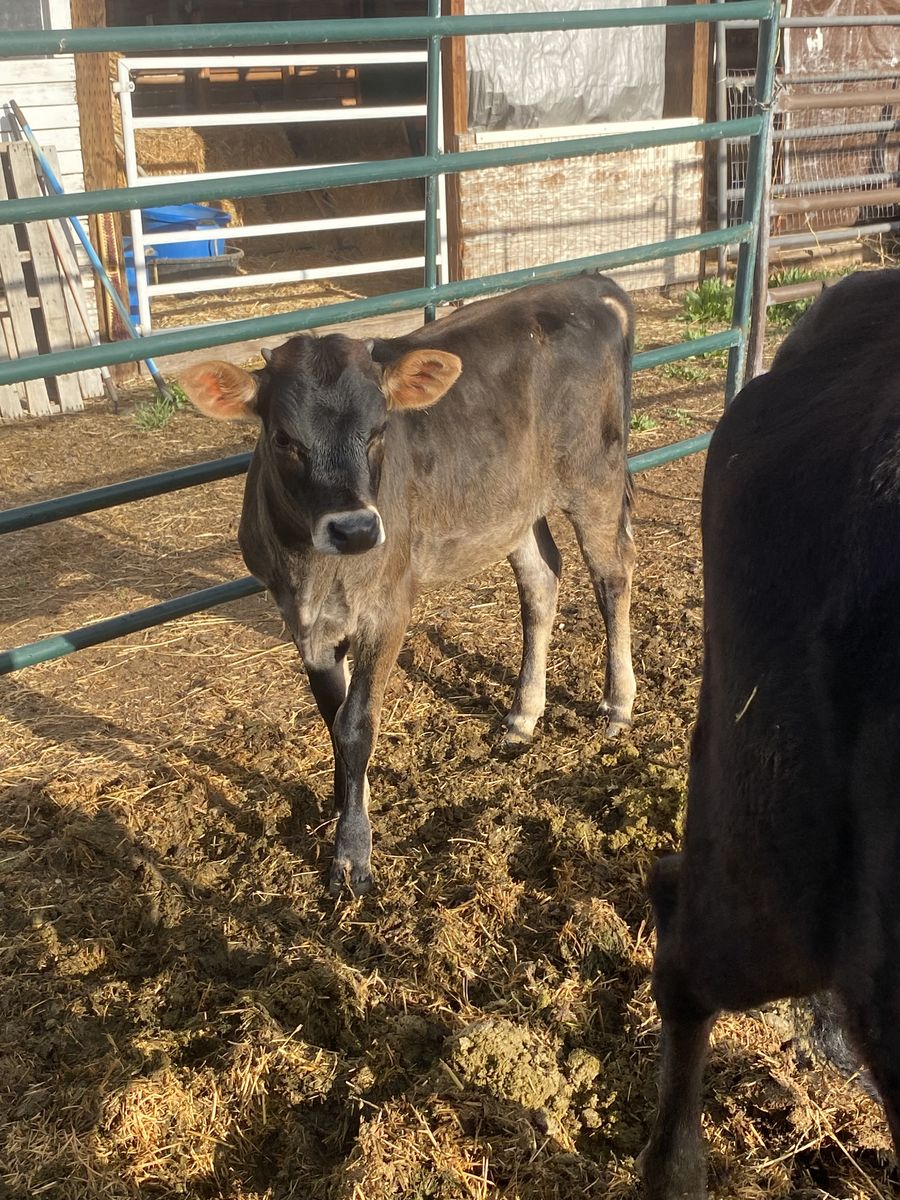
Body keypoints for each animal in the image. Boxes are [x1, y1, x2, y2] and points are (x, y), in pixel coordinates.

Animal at [179, 273, 636, 895]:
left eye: (378, 431)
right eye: (283, 439)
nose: (354, 528)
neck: (314, 571)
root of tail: (589, 284)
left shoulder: (389, 606)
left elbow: (356, 722)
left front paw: (352, 855)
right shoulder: (303, 621)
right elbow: (335, 721)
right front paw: (351, 801)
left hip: (595, 478)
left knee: (611, 576)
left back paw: (617, 704)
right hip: (513, 506)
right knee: (542, 581)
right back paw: (523, 714)